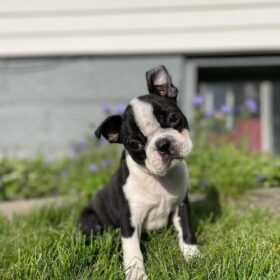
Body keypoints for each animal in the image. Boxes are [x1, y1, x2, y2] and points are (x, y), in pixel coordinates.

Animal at [79, 66, 199, 280]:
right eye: (135, 144)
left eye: (173, 117)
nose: (163, 144)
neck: (159, 178)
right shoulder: (129, 218)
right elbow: (133, 250)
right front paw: (136, 274)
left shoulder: (181, 205)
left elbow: (186, 231)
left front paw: (193, 257)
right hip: (90, 219)